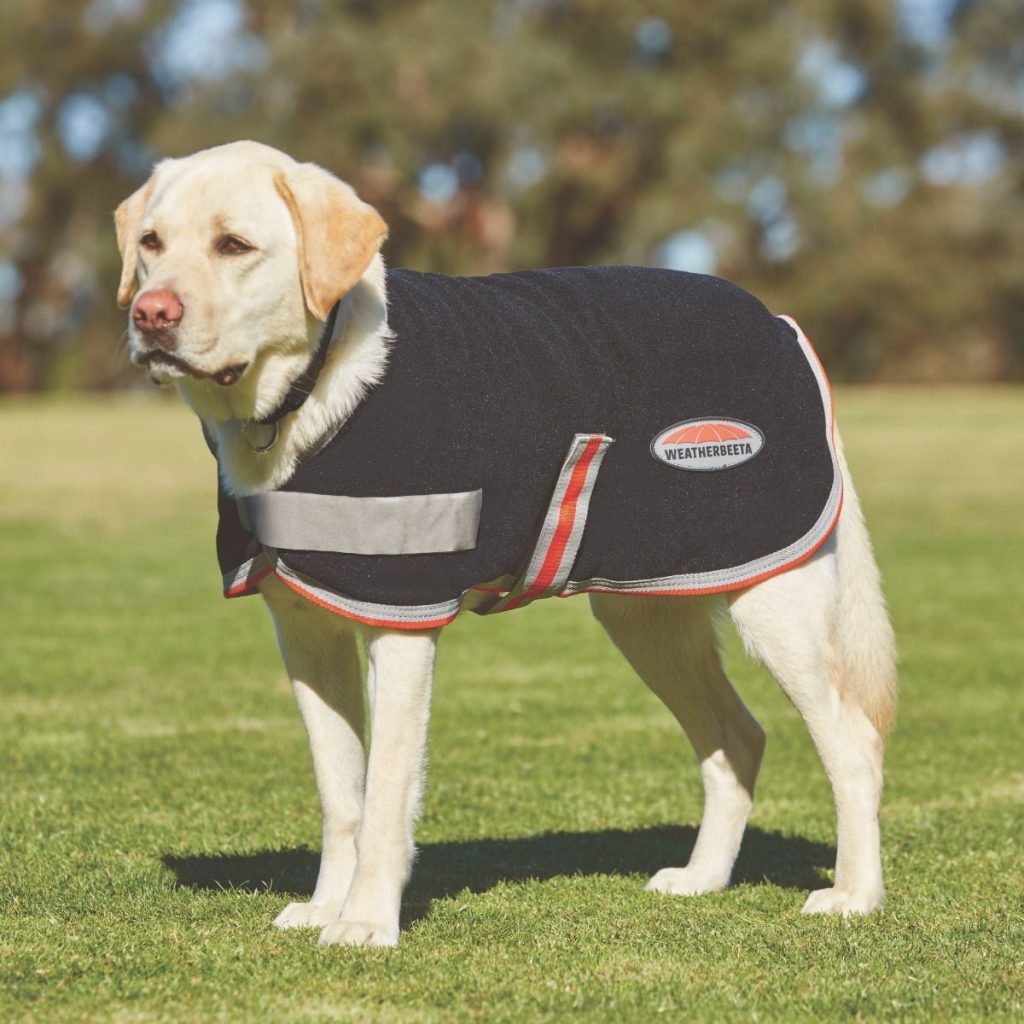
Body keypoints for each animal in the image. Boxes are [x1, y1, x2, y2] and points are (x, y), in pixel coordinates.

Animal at [114, 140, 897, 946]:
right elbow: (342, 795)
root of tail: (779, 321)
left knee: (856, 745)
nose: (151, 314)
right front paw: (326, 908)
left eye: (234, 245)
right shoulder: (306, 635)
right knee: (738, 739)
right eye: (150, 244)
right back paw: (703, 878)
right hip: (645, 614)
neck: (309, 390)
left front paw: (365, 923)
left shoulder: (401, 623)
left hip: (779, 609)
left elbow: (386, 791)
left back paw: (854, 895)